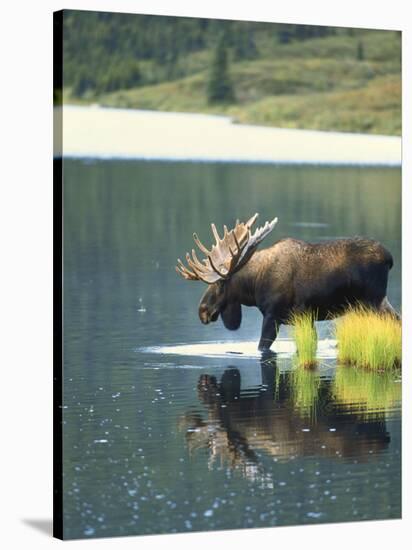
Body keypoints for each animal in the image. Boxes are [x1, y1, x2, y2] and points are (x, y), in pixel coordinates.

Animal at [175, 213, 398, 352]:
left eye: (219, 284)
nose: (202, 311)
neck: (253, 287)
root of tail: (389, 258)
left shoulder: (272, 315)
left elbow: (262, 347)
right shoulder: (304, 318)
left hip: (372, 301)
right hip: (380, 301)